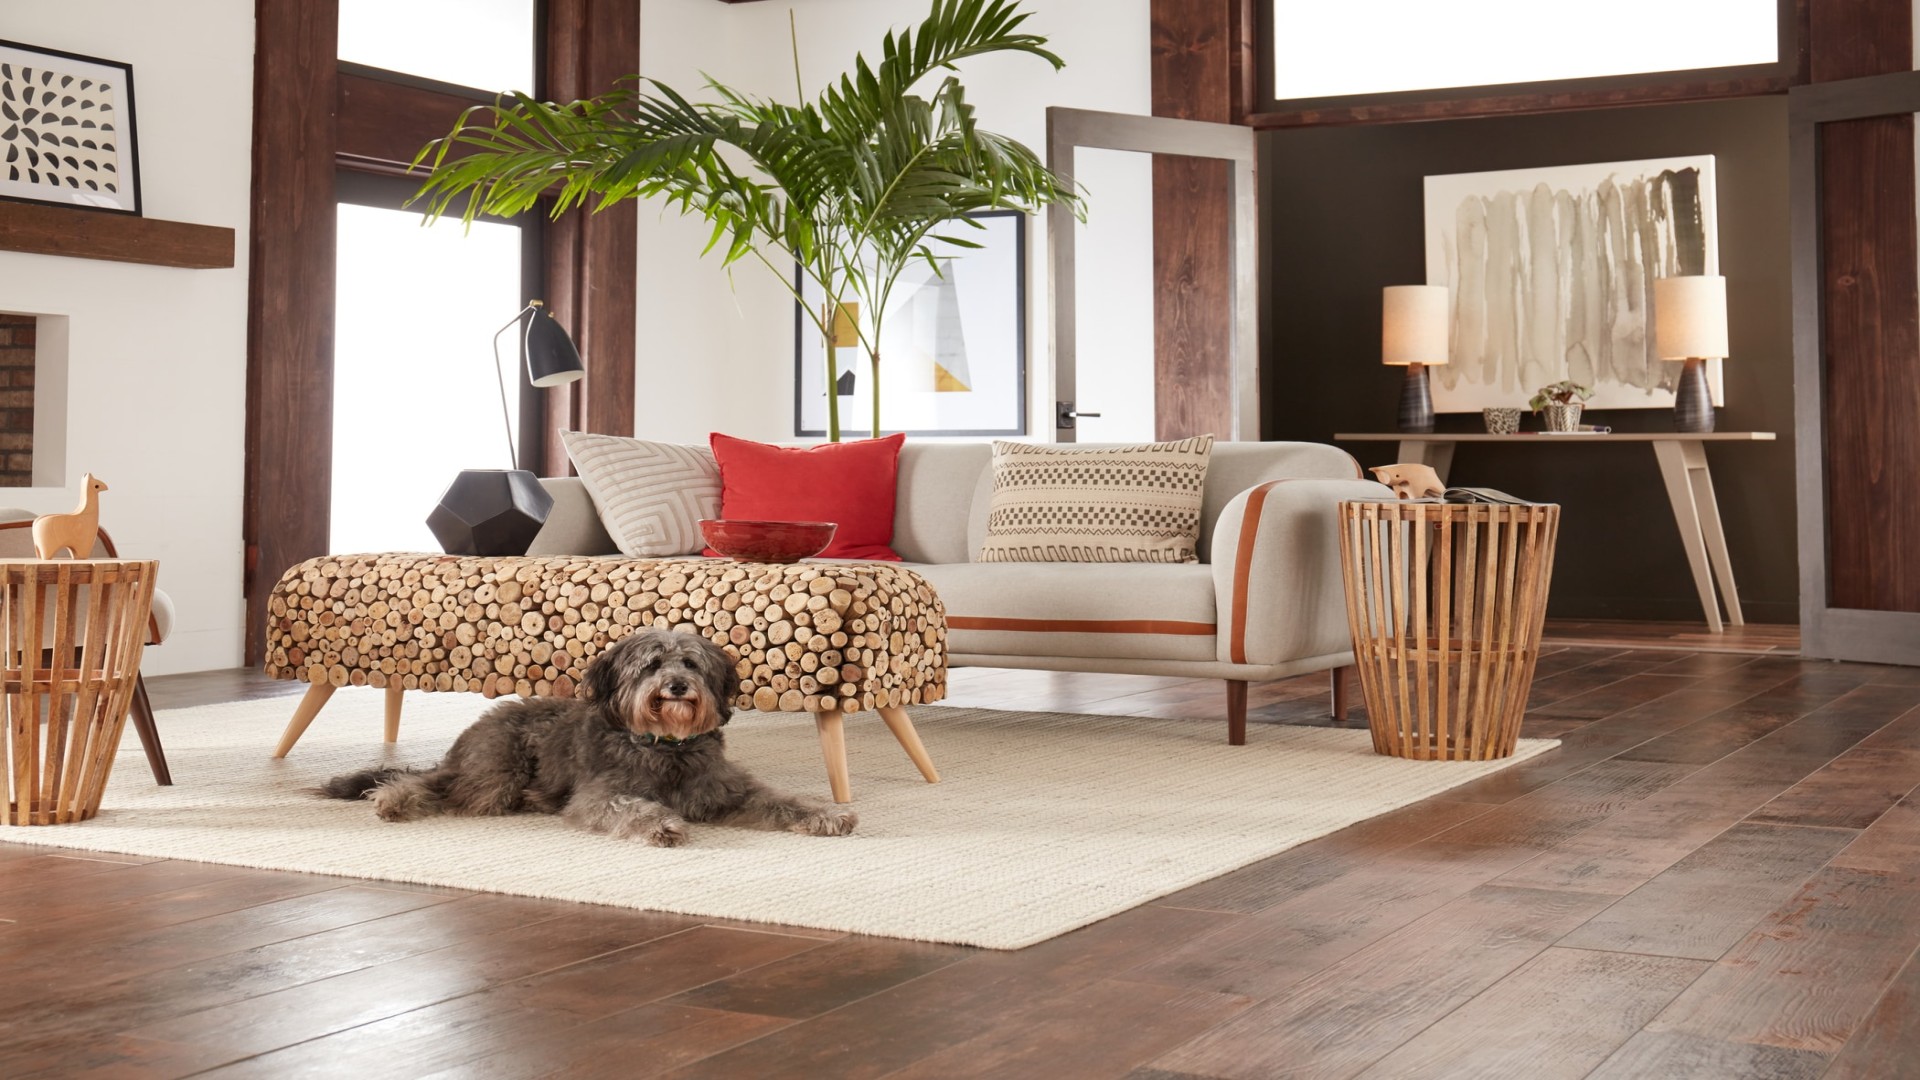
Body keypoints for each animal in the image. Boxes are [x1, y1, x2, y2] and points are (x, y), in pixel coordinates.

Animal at [320, 626, 856, 845]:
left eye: (691, 663)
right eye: (652, 665)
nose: (677, 687)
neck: (666, 748)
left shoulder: (730, 791)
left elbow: (783, 801)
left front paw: (829, 816)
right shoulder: (601, 796)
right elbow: (635, 807)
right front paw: (663, 826)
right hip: (496, 777)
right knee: (430, 784)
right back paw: (393, 801)